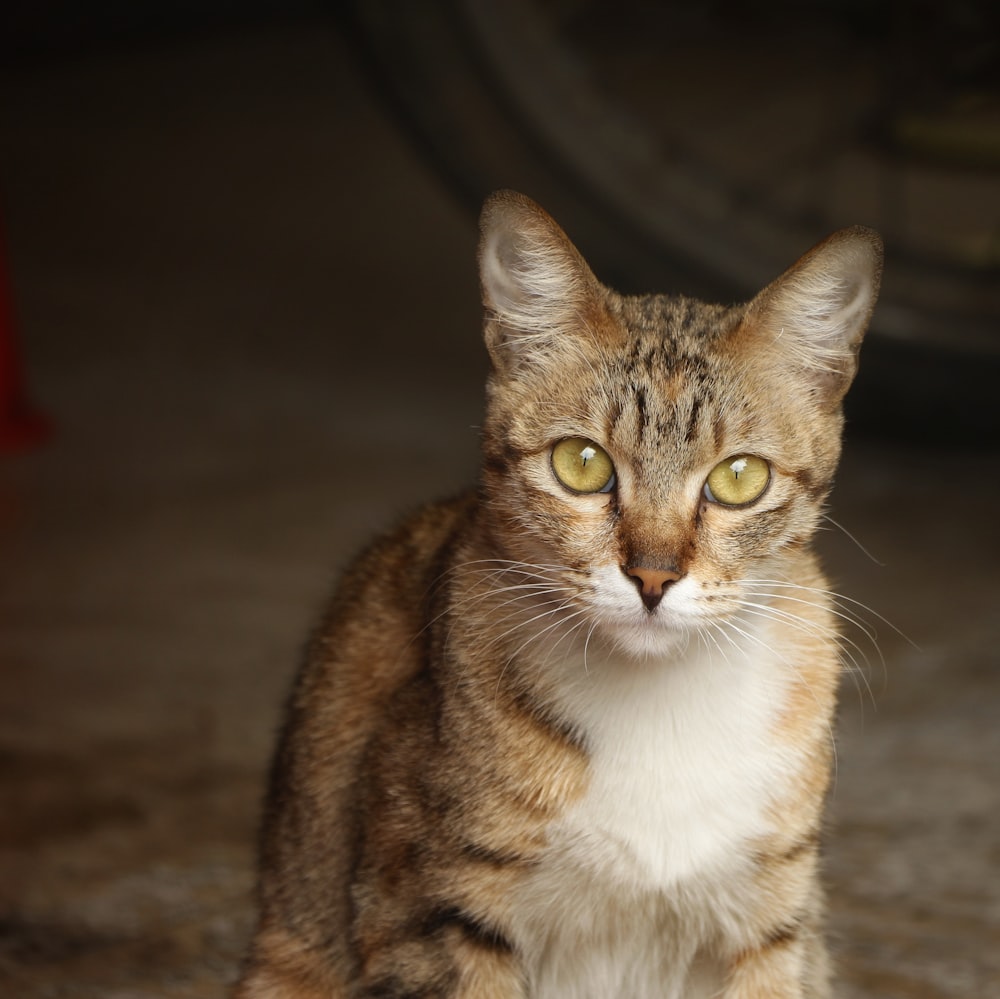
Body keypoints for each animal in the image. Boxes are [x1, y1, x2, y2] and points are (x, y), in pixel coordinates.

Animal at [234, 189, 884, 999]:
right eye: (582, 464)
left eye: (740, 477)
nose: (653, 576)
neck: (658, 702)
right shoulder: (428, 908)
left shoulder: (773, 923)